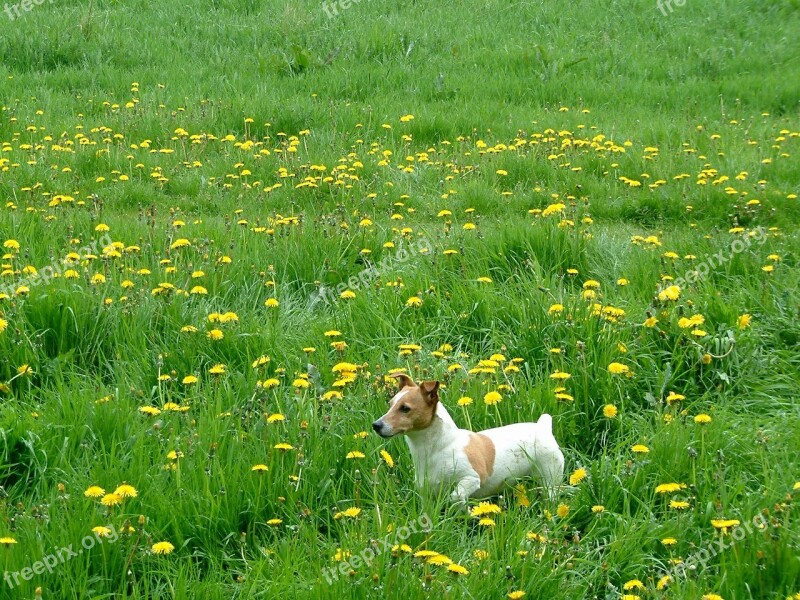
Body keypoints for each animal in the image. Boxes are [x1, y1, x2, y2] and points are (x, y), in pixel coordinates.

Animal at [374, 372, 564, 504]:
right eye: (390, 405)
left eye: (405, 408)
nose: (376, 425)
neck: (438, 448)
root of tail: (542, 427)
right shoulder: (426, 493)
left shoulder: (471, 479)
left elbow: (455, 497)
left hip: (550, 480)